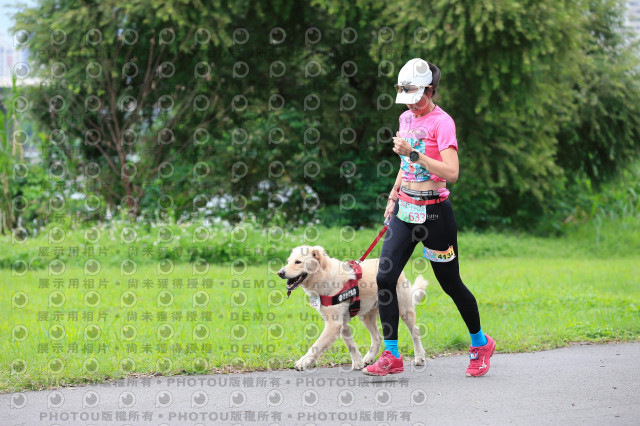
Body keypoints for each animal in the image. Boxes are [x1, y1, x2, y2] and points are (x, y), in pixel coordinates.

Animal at [278, 245, 428, 372]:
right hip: (366, 317)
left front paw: (303, 362)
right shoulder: (342, 324)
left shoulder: (333, 324)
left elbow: (317, 345)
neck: (324, 277)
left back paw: (419, 357)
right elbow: (351, 345)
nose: (280, 273)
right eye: (288, 261)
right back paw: (368, 359)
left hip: (404, 311)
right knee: (377, 337)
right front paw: (358, 363)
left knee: (415, 332)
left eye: (298, 262)